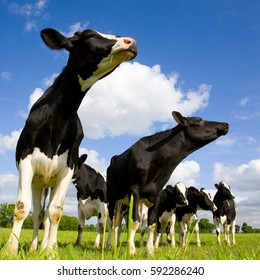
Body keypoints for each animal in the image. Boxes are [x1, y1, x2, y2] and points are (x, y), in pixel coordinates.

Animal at [5, 28, 137, 256]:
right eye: (90, 35)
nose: (131, 41)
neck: (59, 117)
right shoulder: (26, 161)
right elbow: (22, 207)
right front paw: (11, 249)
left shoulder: (68, 169)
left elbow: (56, 212)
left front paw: (50, 251)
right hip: (39, 181)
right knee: (38, 213)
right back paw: (33, 246)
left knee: (47, 215)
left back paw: (42, 246)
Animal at [105, 110, 228, 255]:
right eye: (198, 120)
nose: (225, 124)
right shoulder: (134, 190)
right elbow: (134, 221)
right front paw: (131, 250)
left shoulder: (155, 194)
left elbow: (152, 224)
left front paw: (150, 250)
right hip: (112, 196)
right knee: (111, 221)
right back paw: (109, 245)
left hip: (122, 200)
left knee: (117, 223)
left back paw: (115, 244)